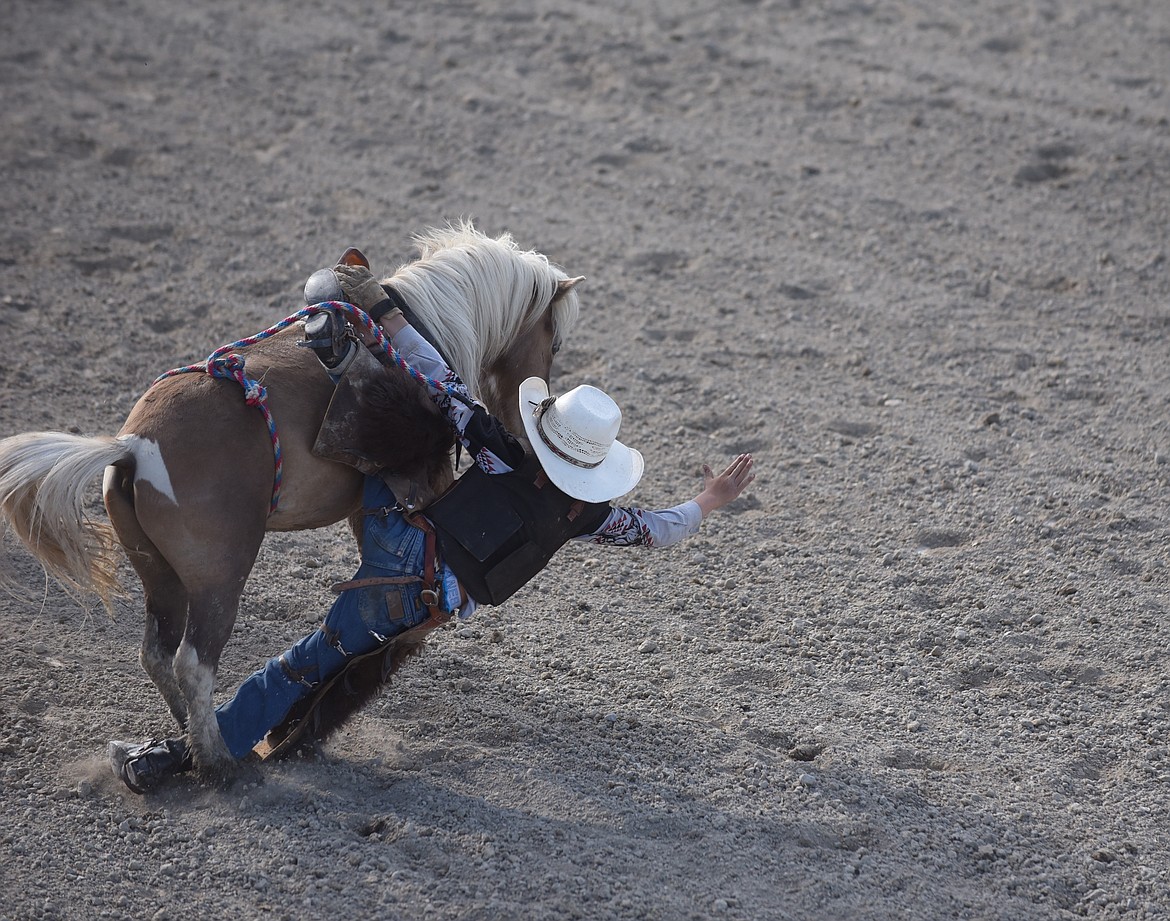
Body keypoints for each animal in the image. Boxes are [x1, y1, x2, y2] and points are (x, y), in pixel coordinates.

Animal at [0, 220, 585, 781]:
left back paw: (186, 742)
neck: (420, 333)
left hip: (159, 574)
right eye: (554, 342)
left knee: (157, 655)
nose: (522, 424)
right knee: (193, 662)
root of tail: (133, 448)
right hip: (220, 576)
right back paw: (220, 765)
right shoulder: (421, 487)